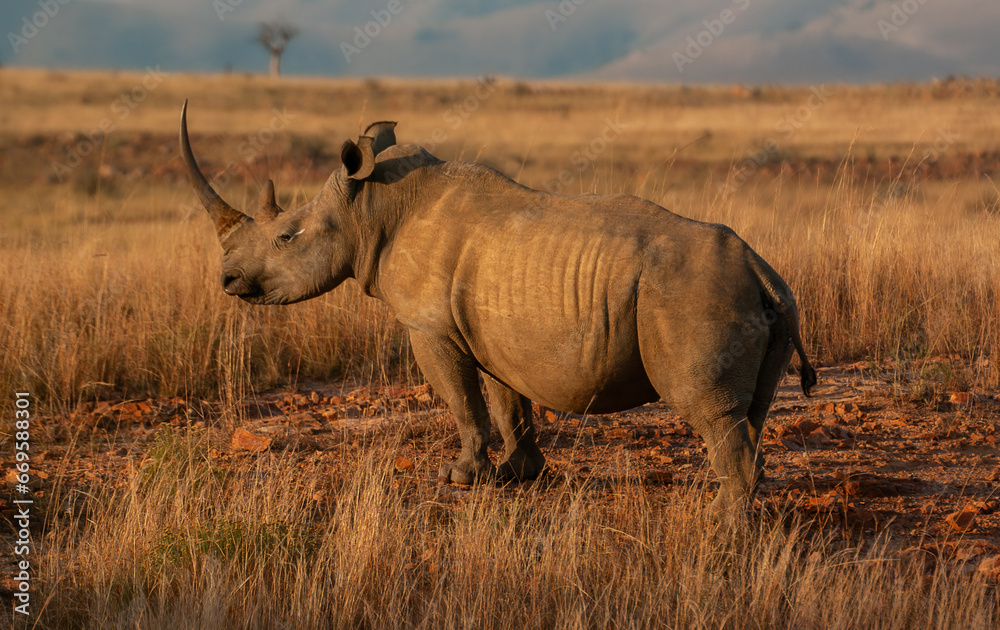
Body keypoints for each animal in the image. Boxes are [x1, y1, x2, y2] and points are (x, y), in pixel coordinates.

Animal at [179, 102, 816, 513]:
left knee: (712, 412)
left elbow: (463, 401)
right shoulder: (492, 330)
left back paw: (720, 526)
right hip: (758, 298)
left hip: (692, 293)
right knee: (748, 413)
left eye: (285, 237)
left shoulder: (430, 327)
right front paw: (518, 476)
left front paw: (460, 477)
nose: (228, 280)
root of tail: (761, 269)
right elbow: (510, 402)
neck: (371, 208)